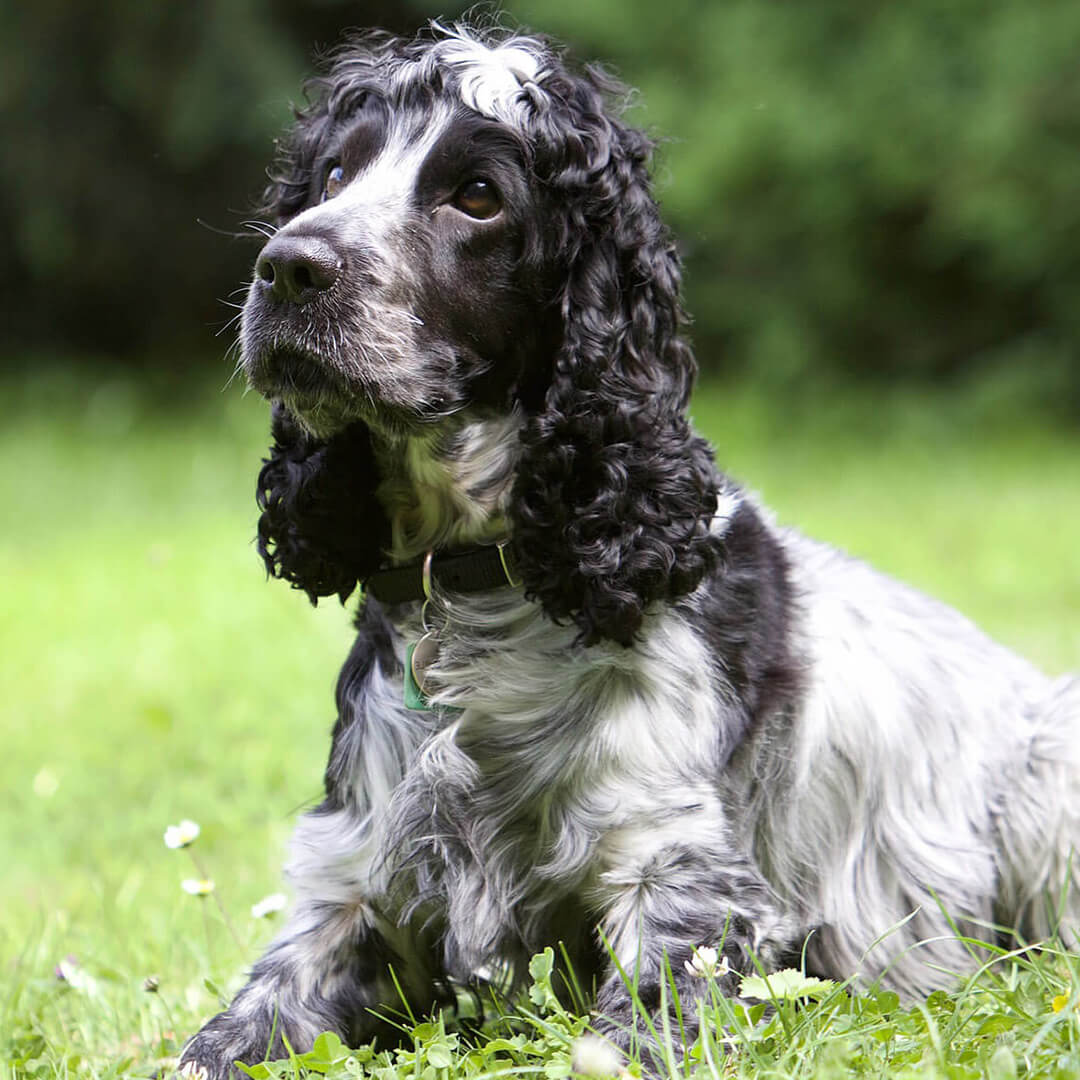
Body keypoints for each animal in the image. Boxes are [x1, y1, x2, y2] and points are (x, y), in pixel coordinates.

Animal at [179, 21, 1080, 1075]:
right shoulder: (351, 886)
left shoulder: (686, 889)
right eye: (331, 173)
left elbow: (612, 1038)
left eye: (477, 195)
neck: (483, 590)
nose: (288, 267)